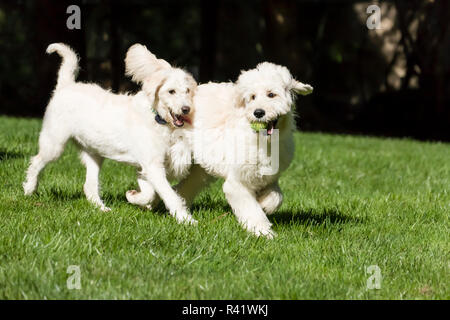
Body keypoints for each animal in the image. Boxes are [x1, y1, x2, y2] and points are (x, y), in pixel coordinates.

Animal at [23, 42, 198, 225]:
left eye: (187, 91)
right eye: (171, 91)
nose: (186, 109)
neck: (157, 118)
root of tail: (66, 85)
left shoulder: (145, 167)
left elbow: (150, 193)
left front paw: (134, 197)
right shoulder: (153, 165)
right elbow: (169, 195)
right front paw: (186, 220)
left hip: (93, 154)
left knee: (89, 186)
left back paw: (102, 209)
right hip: (54, 144)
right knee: (36, 161)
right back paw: (29, 189)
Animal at [176, 62, 312, 238]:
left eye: (271, 94)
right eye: (252, 97)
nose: (258, 112)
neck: (263, 141)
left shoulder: (269, 177)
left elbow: (277, 196)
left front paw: (265, 204)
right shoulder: (237, 182)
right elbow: (250, 208)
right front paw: (263, 231)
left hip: (200, 169)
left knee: (186, 186)